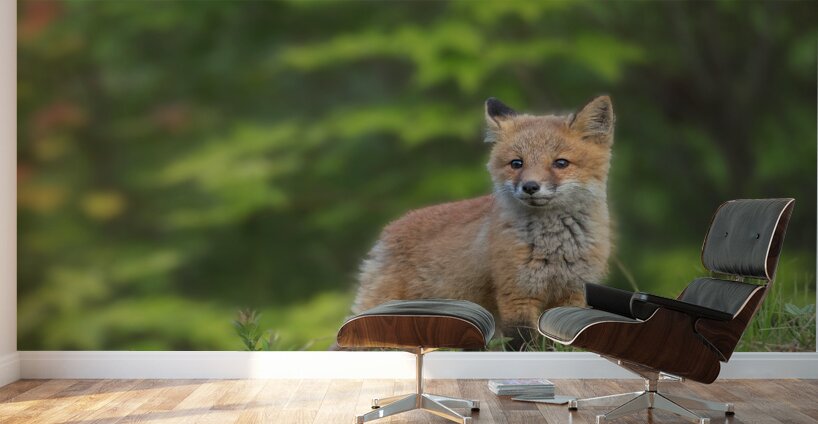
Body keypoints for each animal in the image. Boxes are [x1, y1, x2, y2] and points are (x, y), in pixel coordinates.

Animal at [351, 96, 614, 350]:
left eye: (561, 163)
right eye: (517, 163)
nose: (530, 187)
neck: (555, 248)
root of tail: (391, 228)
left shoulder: (574, 293)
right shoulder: (517, 295)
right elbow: (524, 345)